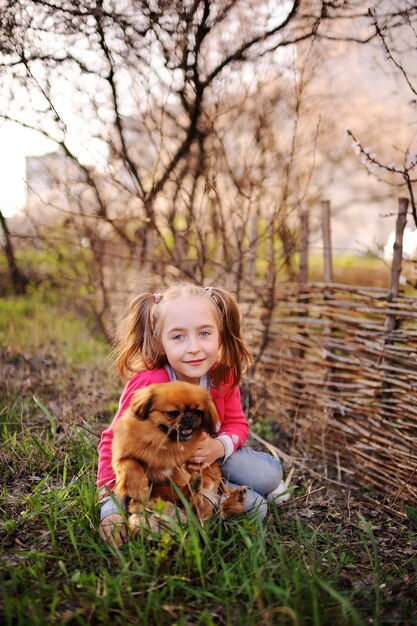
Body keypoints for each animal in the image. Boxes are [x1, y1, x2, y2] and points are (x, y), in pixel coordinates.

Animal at [111, 380, 247, 528]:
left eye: (197, 412)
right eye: (172, 413)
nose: (188, 416)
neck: (167, 444)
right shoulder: (121, 455)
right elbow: (130, 464)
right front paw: (138, 488)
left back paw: (235, 496)